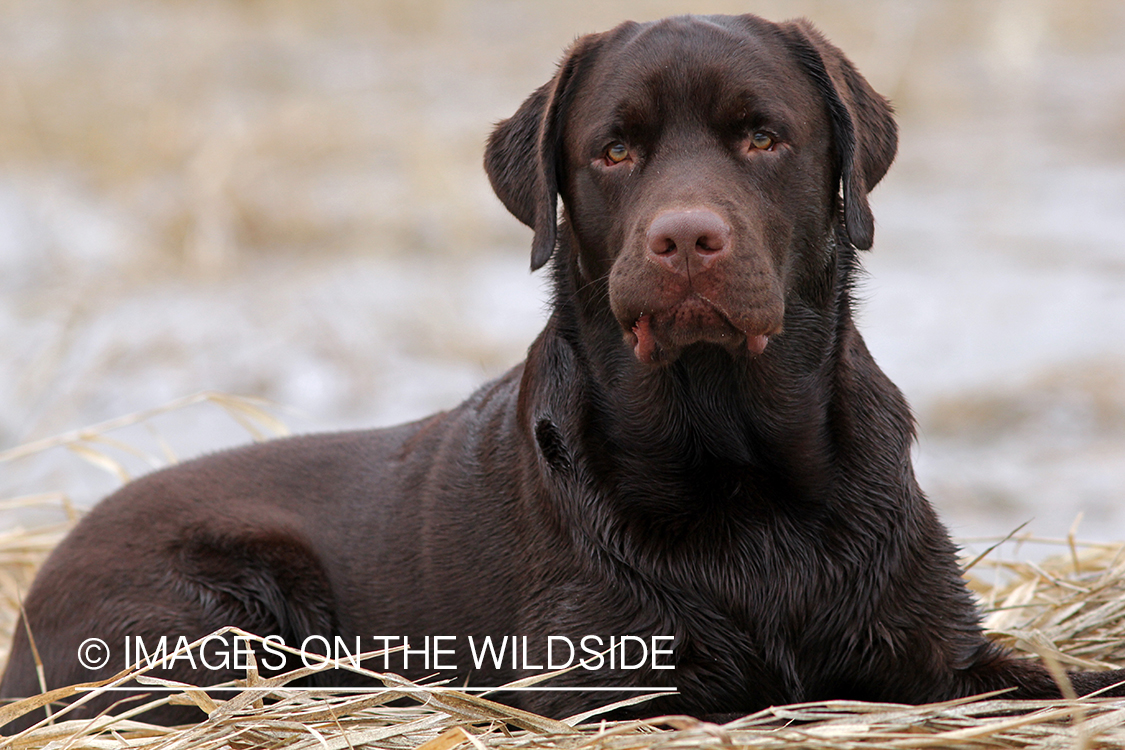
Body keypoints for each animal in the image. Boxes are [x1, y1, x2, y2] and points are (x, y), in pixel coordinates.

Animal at [2, 11, 1125, 733]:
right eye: (614, 151)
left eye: (763, 136)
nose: (685, 239)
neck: (739, 464)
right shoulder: (610, 688)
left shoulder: (936, 653)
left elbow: (1071, 679)